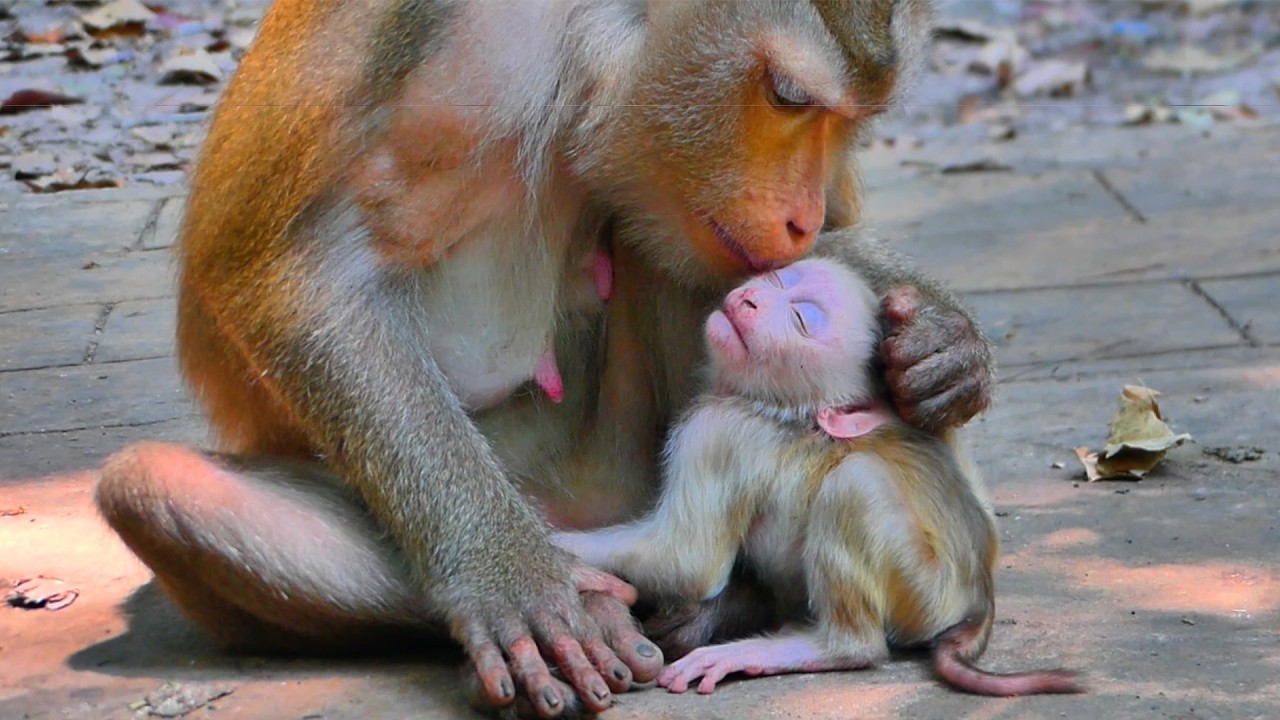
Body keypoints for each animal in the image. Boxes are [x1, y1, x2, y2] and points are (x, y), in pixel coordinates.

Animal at [93, 1, 999, 717]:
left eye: (850, 122)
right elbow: (302, 274)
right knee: (156, 488)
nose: (800, 217)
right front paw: (514, 580)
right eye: (785, 98)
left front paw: (943, 348)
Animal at [555, 258, 1082, 697]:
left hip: (927, 592)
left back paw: (825, 648)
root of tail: (977, 596)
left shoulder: (715, 432)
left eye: (802, 319)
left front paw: (559, 549)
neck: (782, 408)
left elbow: (686, 560)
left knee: (853, 485)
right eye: (776, 281)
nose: (750, 299)